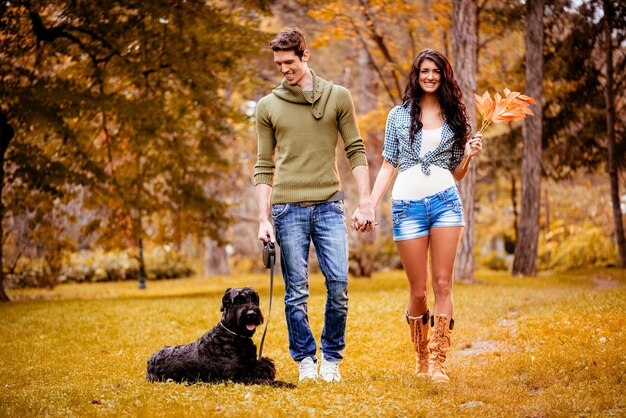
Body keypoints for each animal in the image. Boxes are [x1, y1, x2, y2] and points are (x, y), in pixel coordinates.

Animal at [146, 288, 292, 388]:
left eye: (254, 299)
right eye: (237, 300)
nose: (251, 314)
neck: (234, 335)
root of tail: (150, 361)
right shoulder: (237, 377)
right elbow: (263, 381)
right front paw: (286, 384)